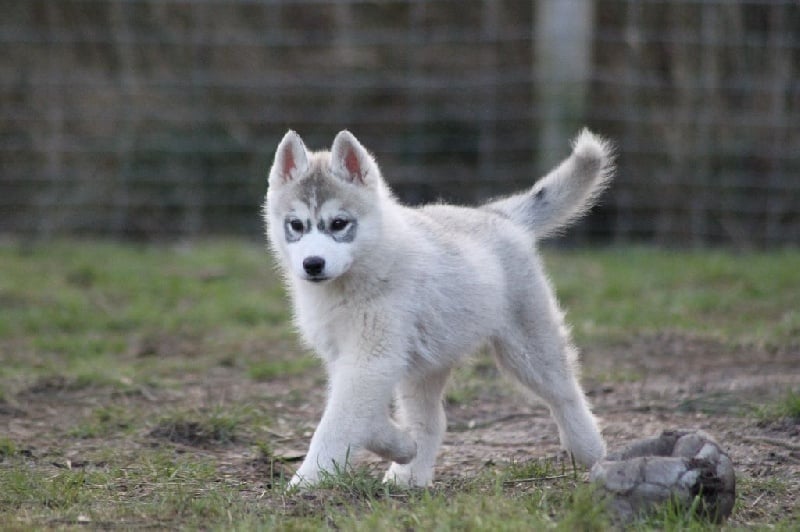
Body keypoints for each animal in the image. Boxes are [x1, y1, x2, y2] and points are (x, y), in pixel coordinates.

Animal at [264, 128, 614, 488]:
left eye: (338, 223)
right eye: (296, 225)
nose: (312, 264)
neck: (350, 281)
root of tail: (495, 214)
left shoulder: (371, 359)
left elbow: (336, 423)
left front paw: (306, 479)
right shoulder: (351, 358)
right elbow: (356, 413)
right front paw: (401, 446)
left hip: (527, 348)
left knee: (564, 391)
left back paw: (589, 449)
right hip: (426, 362)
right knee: (432, 420)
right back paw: (408, 475)